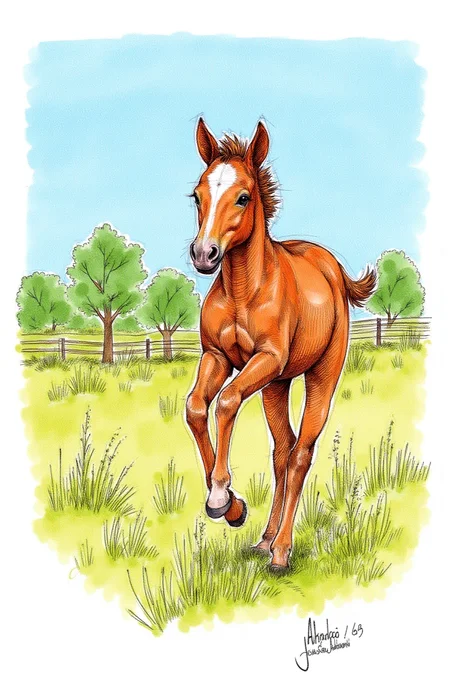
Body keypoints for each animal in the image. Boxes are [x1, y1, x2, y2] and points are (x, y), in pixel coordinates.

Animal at [186, 118, 376, 570]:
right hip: (276, 385)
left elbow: (226, 402)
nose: (204, 254)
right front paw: (233, 507)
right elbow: (196, 407)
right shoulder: (217, 358)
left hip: (319, 375)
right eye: (197, 196)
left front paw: (220, 497)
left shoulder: (267, 358)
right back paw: (265, 539)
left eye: (243, 197)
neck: (244, 290)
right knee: (282, 450)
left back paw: (282, 552)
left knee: (302, 452)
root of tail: (332, 267)